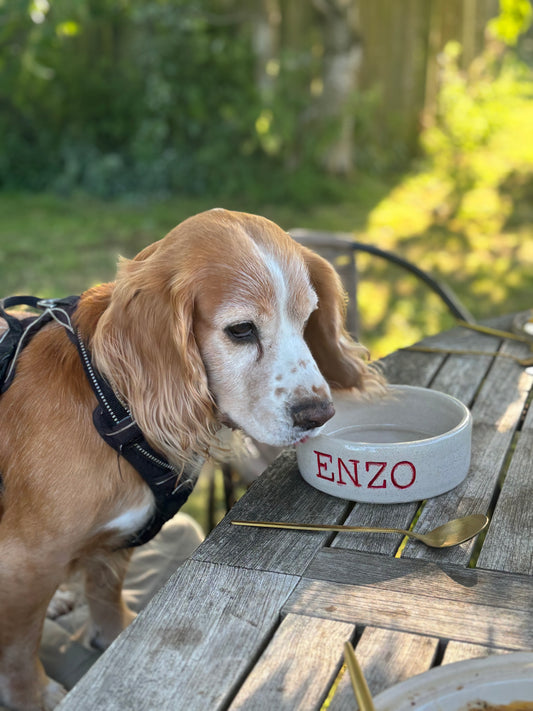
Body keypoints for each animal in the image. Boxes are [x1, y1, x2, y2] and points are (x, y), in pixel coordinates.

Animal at [0, 209, 382, 708]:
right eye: (241, 330)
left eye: (308, 319)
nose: (318, 413)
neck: (109, 404)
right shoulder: (22, 563)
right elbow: (19, 654)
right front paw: (35, 696)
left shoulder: (118, 539)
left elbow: (106, 592)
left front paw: (115, 637)